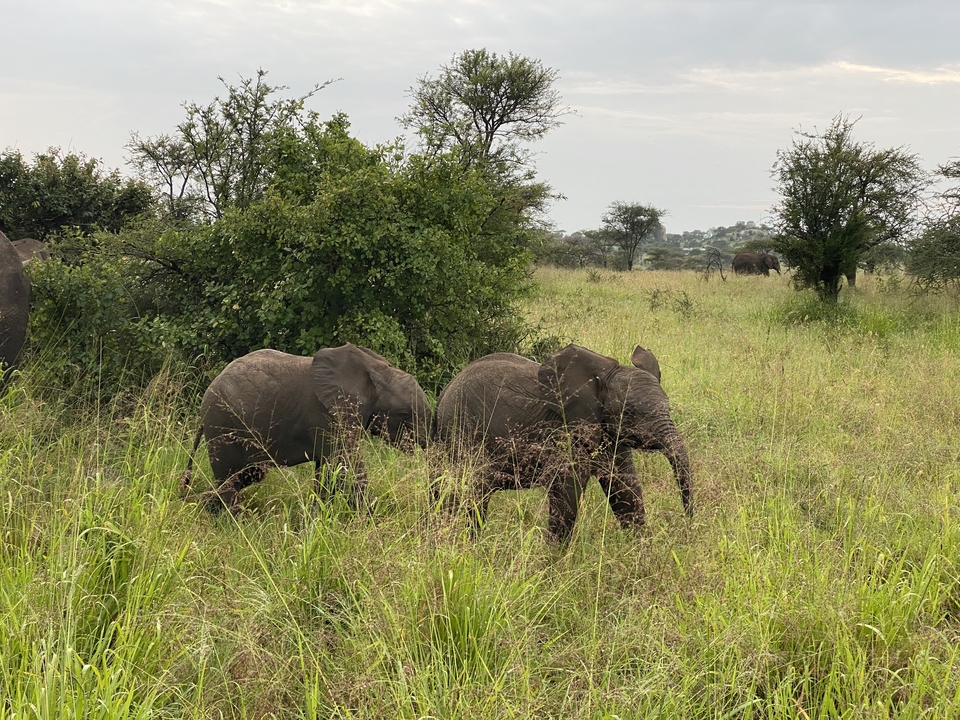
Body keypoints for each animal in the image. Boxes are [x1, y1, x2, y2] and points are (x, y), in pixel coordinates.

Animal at [180, 343, 431, 513]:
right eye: (405, 414)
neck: (372, 369)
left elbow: (328, 472)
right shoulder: (327, 416)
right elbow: (346, 469)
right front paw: (367, 518)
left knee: (247, 475)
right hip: (222, 424)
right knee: (229, 479)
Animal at [433, 343, 693, 542]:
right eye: (629, 413)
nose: (689, 523)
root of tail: (444, 393)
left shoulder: (607, 433)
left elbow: (626, 491)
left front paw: (642, 553)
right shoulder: (565, 432)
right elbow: (567, 493)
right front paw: (552, 564)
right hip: (464, 430)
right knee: (472, 492)